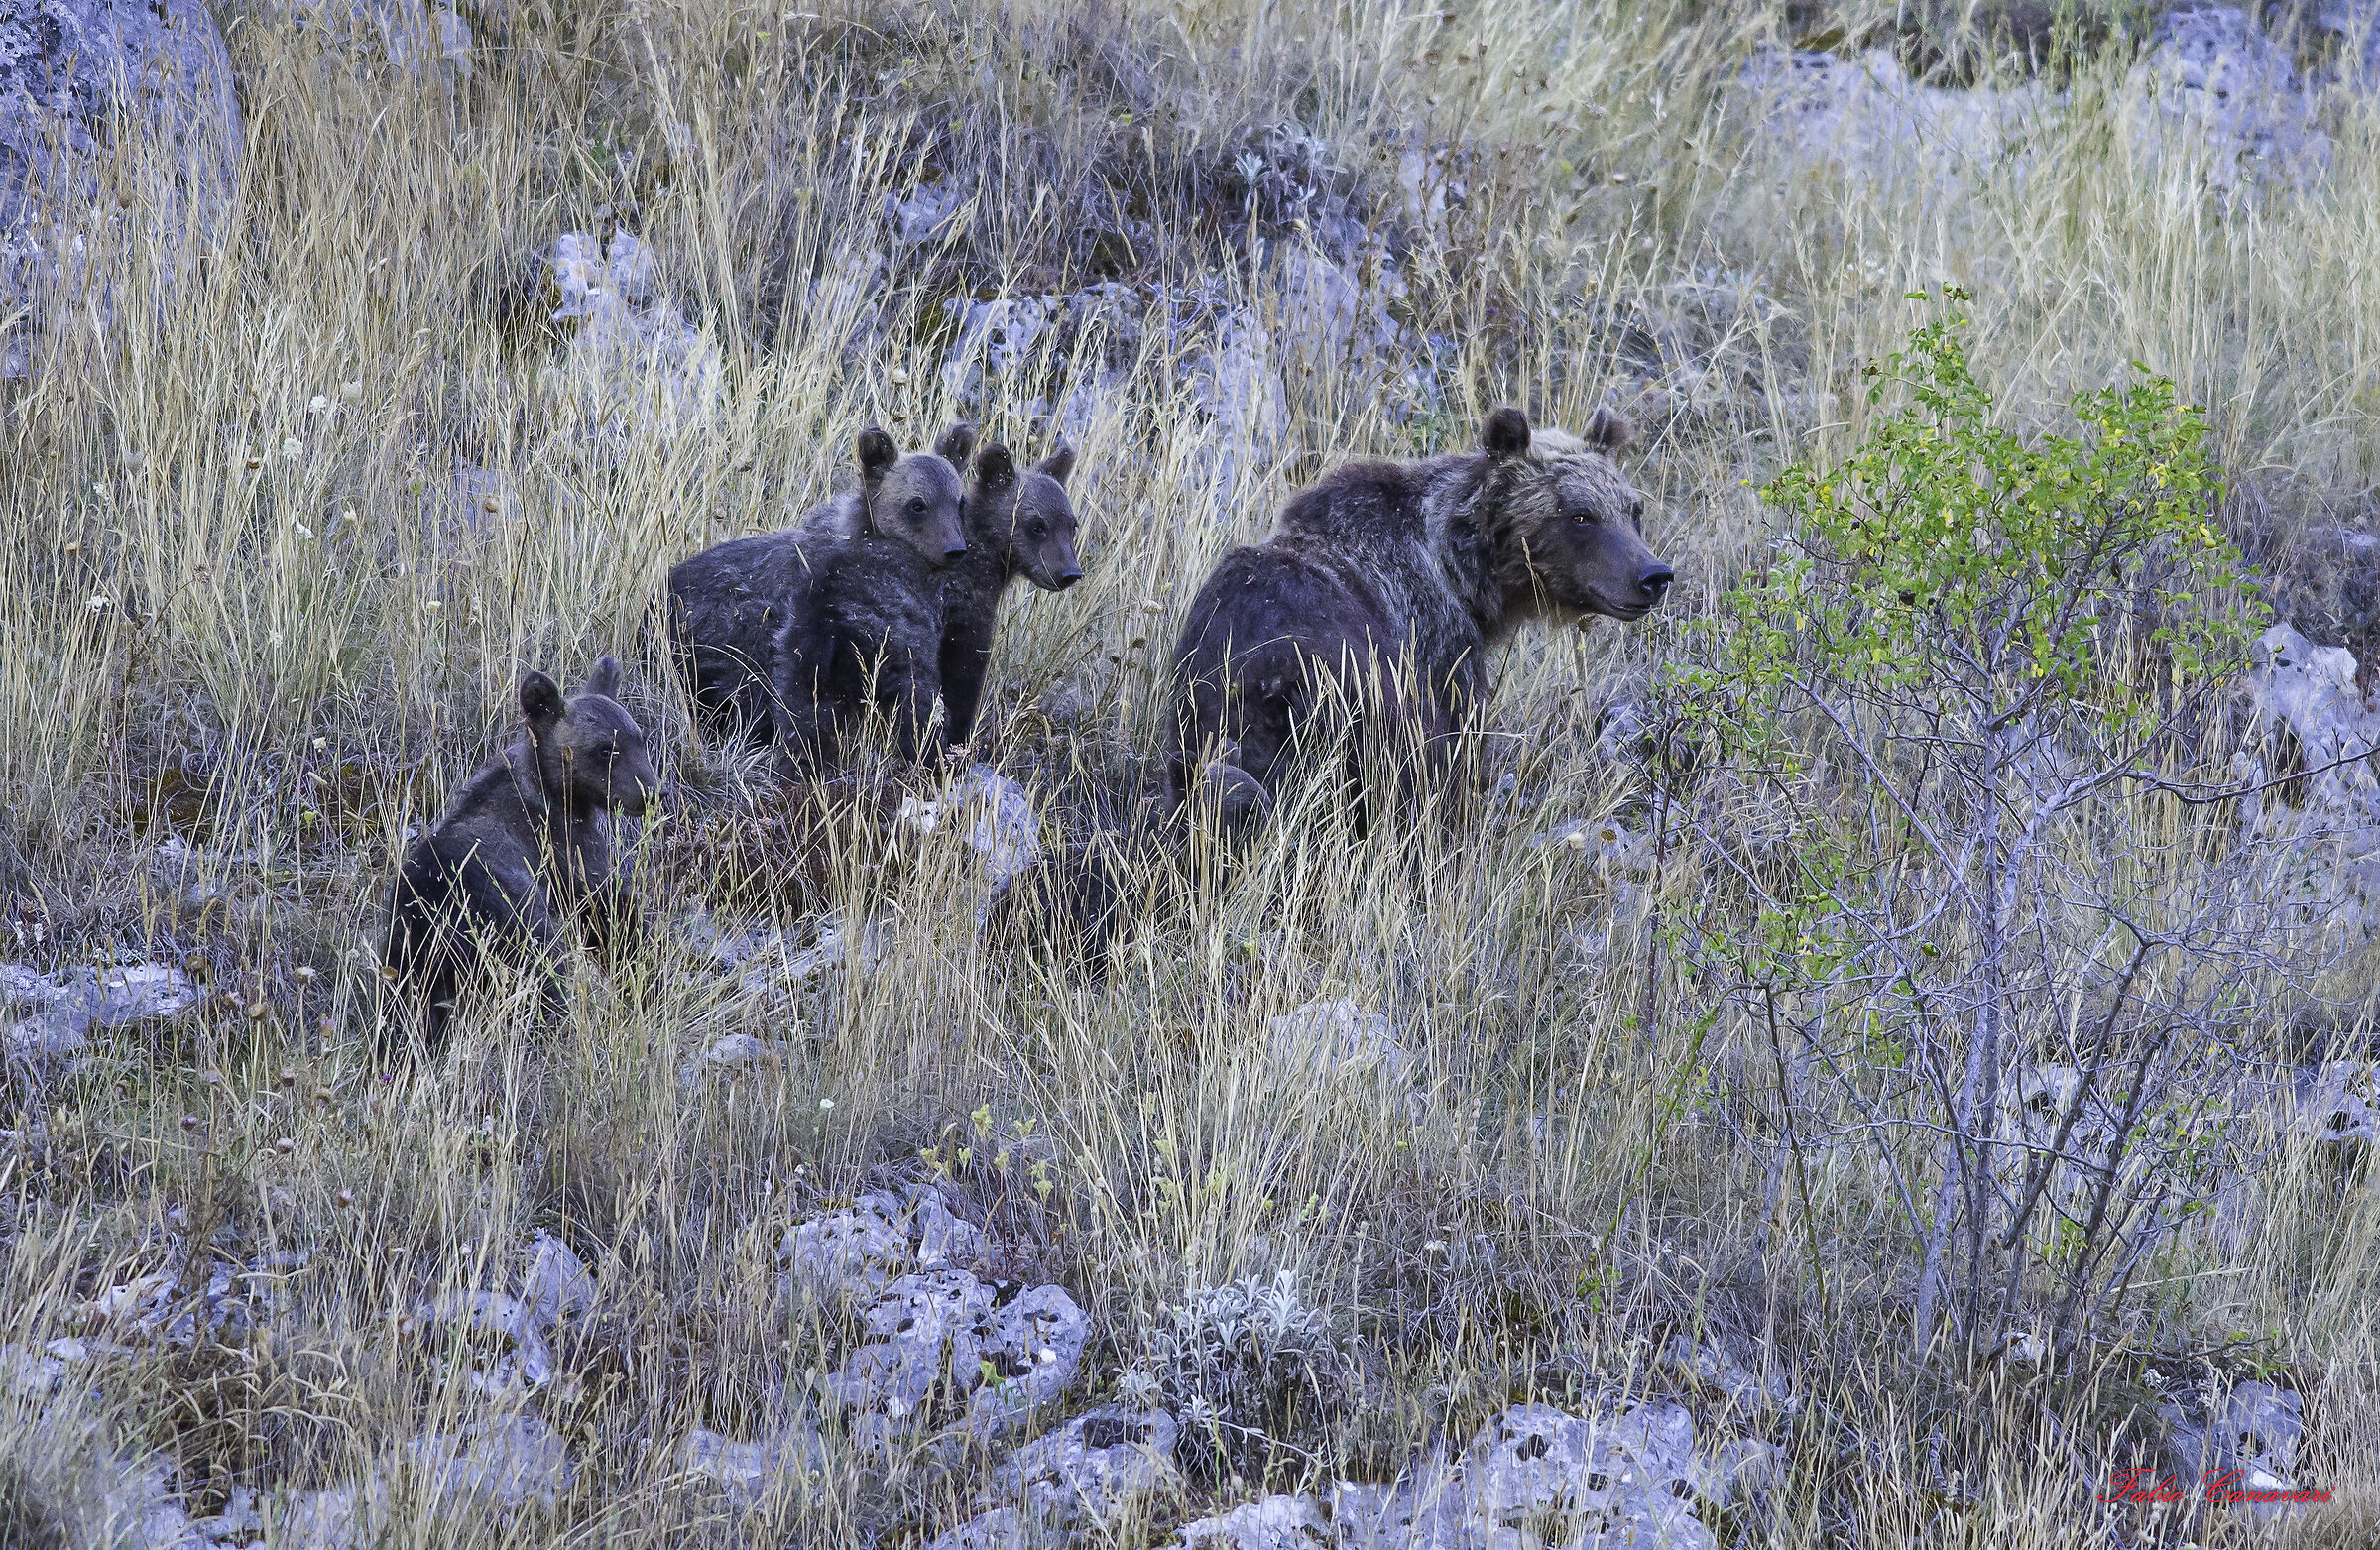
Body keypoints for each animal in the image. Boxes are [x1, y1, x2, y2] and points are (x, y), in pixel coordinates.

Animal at [381, 657, 662, 1051]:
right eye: (605, 748)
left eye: (639, 739)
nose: (652, 792)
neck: (556, 793)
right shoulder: (565, 849)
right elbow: (607, 909)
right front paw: (647, 970)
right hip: (509, 922)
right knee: (546, 979)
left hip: (407, 960)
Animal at [1160, 405, 1672, 829]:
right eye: (1581, 515)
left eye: (1632, 509)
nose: (1653, 575)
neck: (1462, 571)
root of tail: (1265, 680)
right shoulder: (1437, 647)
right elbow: (1456, 754)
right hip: (1348, 699)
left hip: (1203, 719)